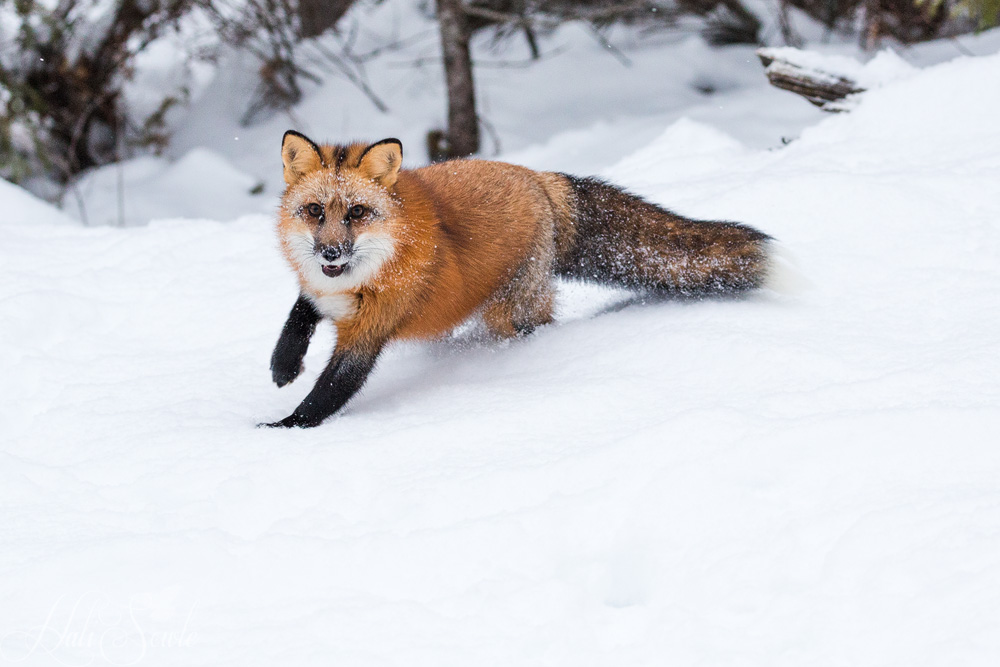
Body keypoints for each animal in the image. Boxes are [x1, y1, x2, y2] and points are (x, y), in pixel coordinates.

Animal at [262, 130, 771, 428]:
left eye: (357, 213)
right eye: (314, 211)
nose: (330, 252)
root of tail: (538, 178)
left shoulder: (370, 332)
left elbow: (328, 394)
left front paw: (282, 430)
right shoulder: (322, 294)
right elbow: (300, 312)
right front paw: (283, 366)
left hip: (512, 313)